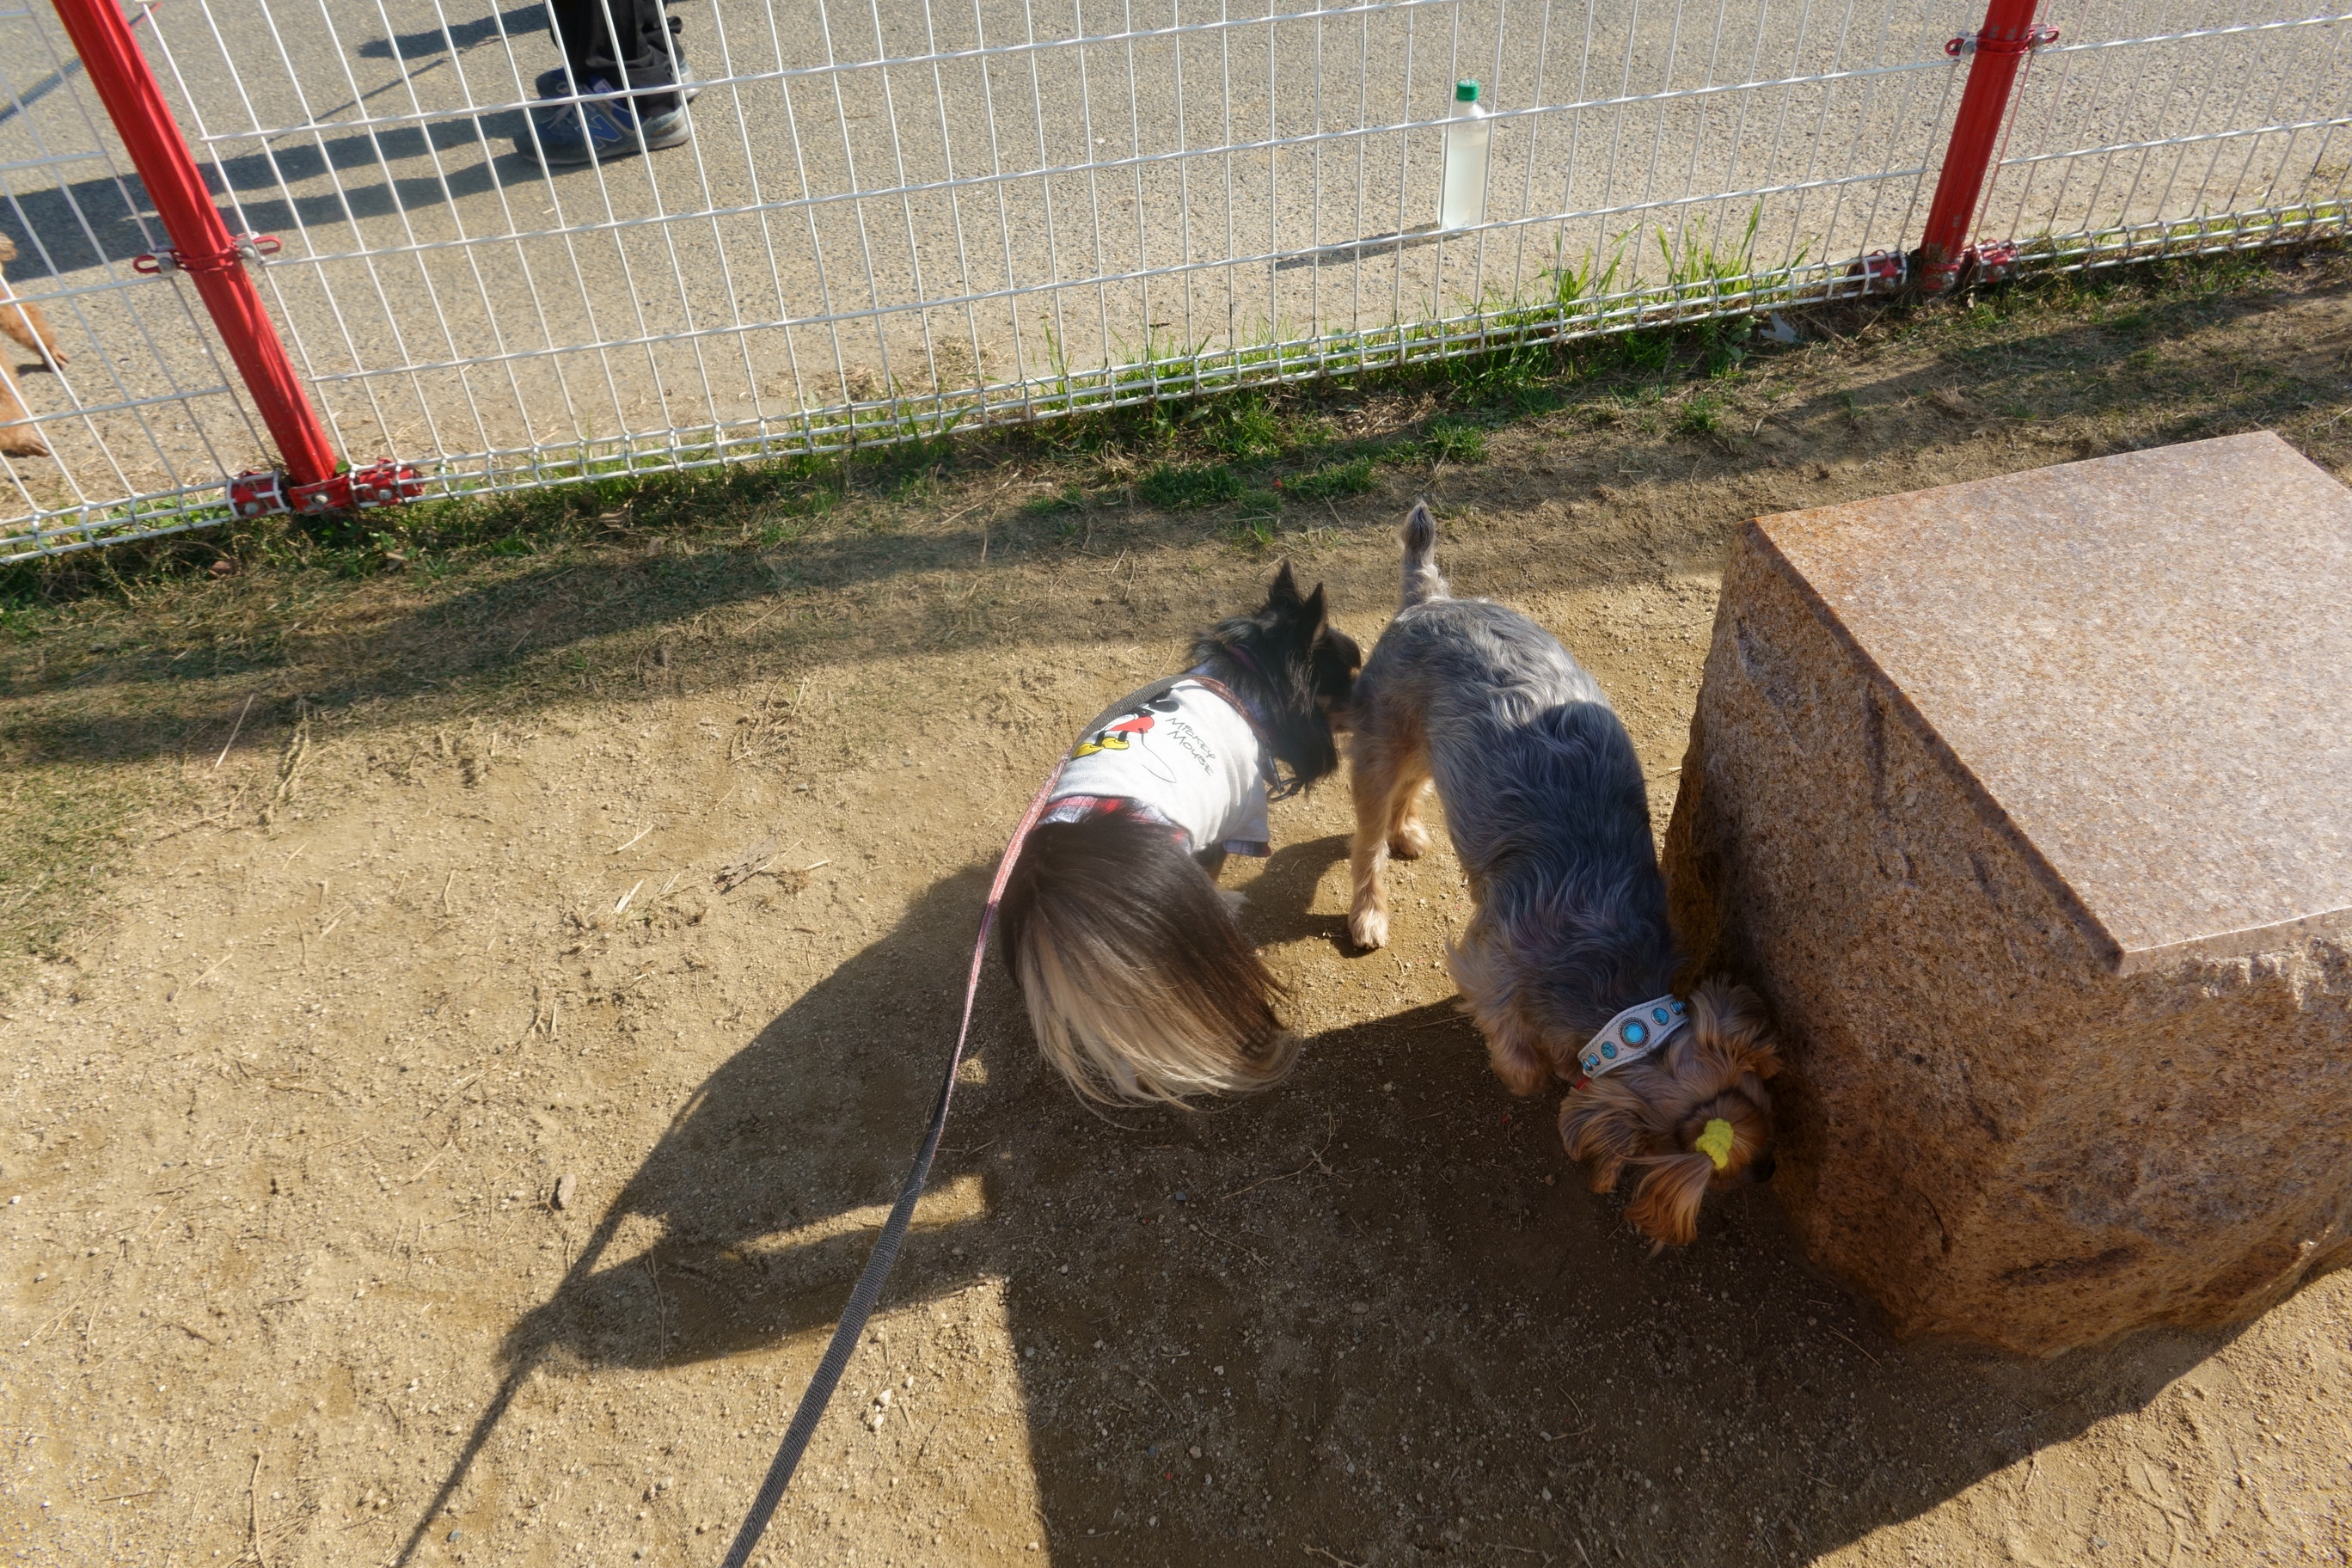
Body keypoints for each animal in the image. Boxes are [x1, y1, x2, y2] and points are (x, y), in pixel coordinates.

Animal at [997, 564, 1363, 1105]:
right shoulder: (1234, 824)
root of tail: (1057, 874)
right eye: (1352, 679)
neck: (1247, 687)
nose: (1380, 702)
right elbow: (1214, 873)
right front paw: (1225, 903)